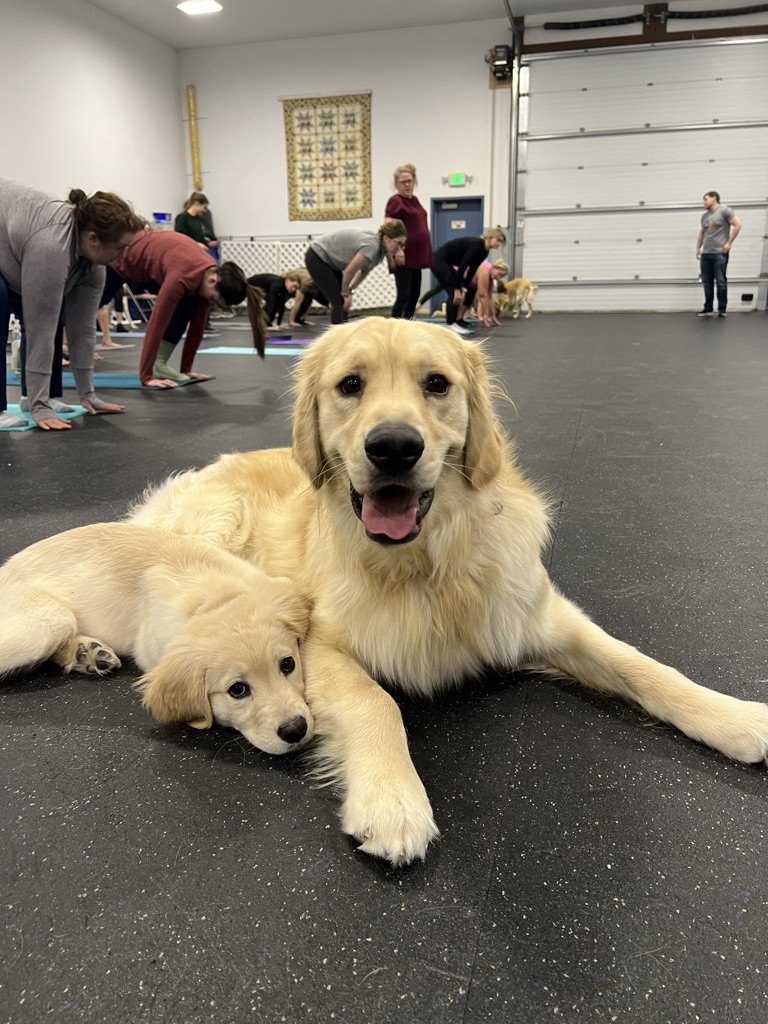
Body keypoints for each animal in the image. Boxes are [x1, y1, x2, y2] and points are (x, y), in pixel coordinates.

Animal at [0, 528, 313, 753]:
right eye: (237, 690)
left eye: (288, 664)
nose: (295, 729)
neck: (215, 597)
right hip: (47, 622)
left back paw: (87, 654)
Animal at [131, 317, 768, 864]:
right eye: (350, 385)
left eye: (436, 383)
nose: (393, 446)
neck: (426, 565)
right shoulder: (313, 642)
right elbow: (375, 699)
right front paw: (392, 799)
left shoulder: (539, 617)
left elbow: (642, 666)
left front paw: (736, 718)